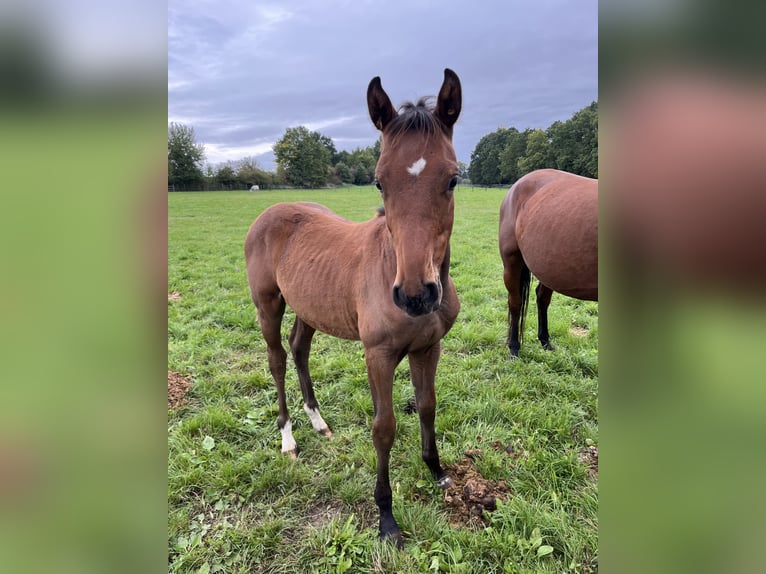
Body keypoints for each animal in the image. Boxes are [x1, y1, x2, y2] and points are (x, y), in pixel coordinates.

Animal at [244, 69, 462, 545]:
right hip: (268, 304)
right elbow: (383, 428)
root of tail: (271, 210)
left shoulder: (428, 347)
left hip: (309, 307)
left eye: (453, 179)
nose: (416, 295)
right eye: (380, 181)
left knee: (299, 348)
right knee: (276, 358)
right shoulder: (377, 355)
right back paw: (288, 439)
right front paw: (386, 517)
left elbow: (428, 404)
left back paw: (319, 422)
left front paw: (436, 470)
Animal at [498, 168, 598, 357]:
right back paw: (514, 347)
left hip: (548, 269)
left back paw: (545, 341)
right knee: (515, 303)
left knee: (542, 299)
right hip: (512, 262)